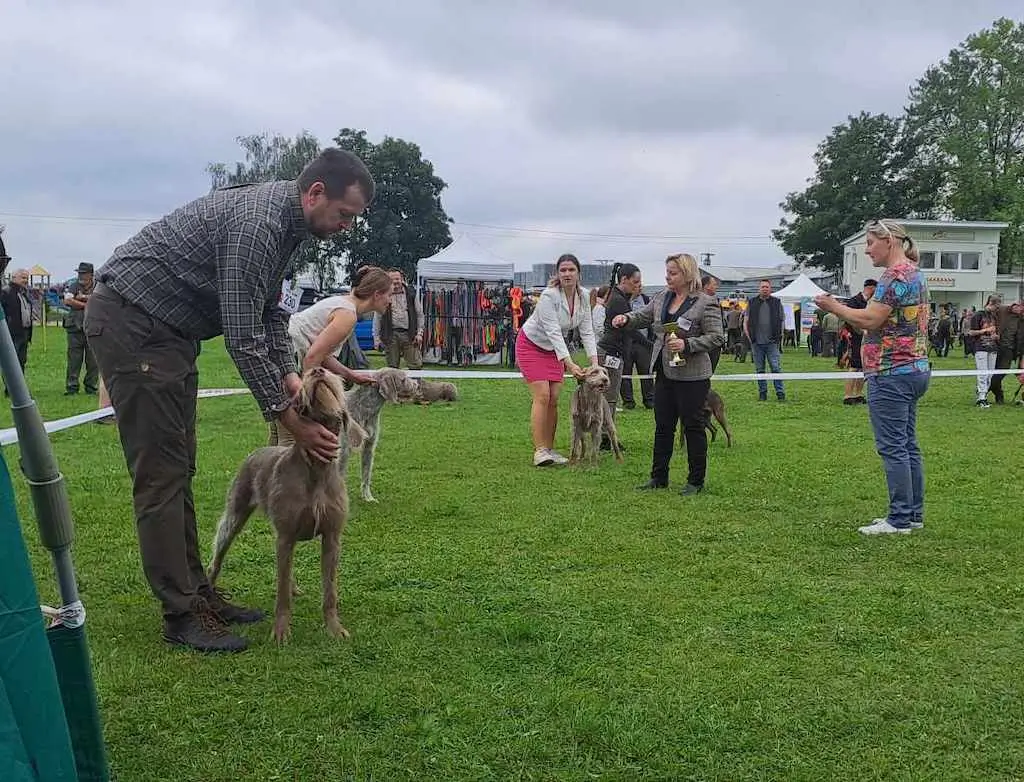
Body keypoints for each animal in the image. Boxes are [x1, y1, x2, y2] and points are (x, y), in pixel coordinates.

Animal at [205, 370, 366, 642]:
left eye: (333, 375)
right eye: (305, 377)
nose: (318, 370)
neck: (316, 470)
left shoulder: (332, 537)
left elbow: (330, 591)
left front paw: (334, 628)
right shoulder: (286, 535)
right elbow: (280, 592)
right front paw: (280, 631)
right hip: (235, 515)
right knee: (218, 556)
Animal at [339, 364, 419, 501]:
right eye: (403, 379)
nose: (417, 385)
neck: (364, 408)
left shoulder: (369, 447)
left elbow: (366, 476)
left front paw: (368, 497)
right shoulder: (343, 451)